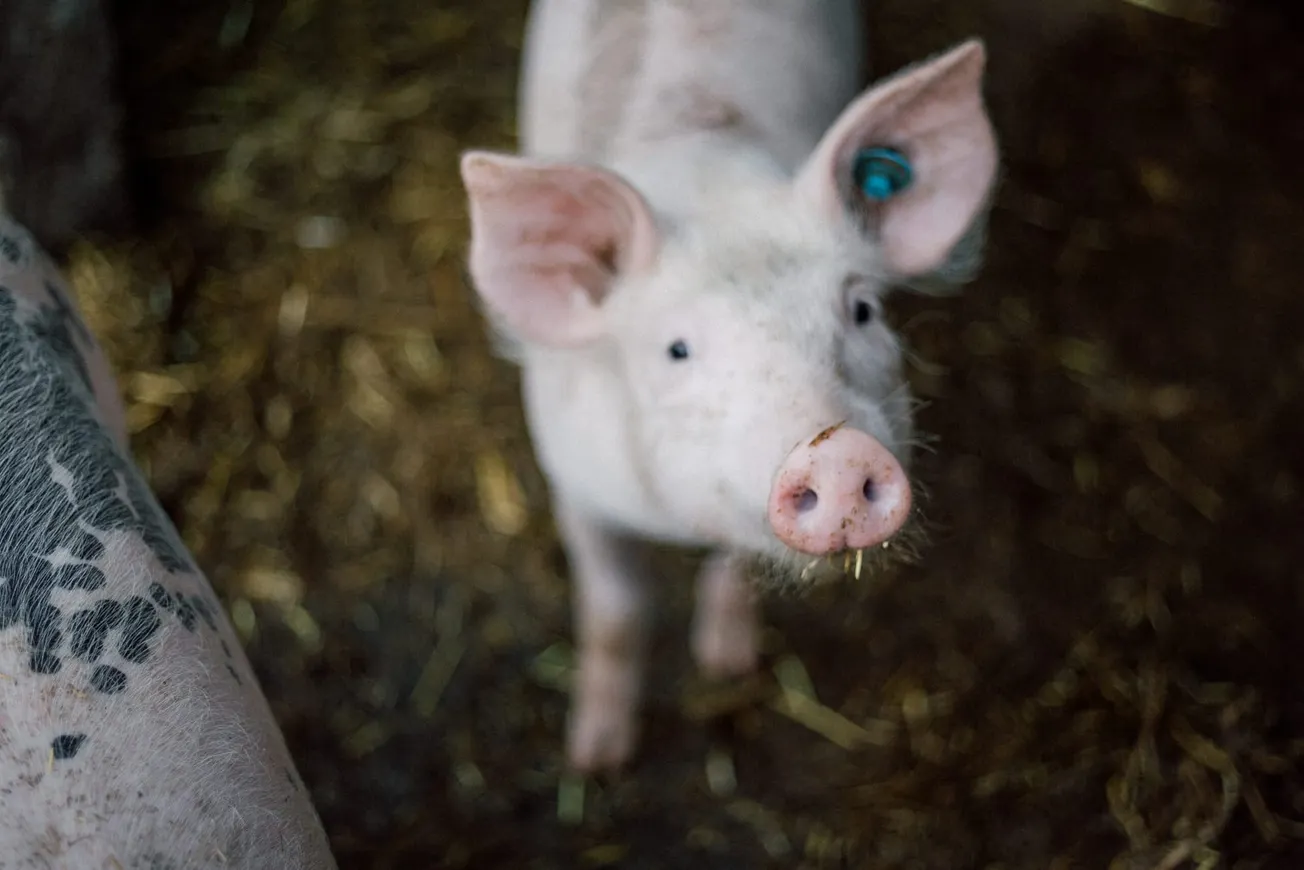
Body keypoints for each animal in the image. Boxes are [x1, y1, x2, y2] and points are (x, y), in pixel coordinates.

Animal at [459, 0, 999, 772]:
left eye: (863, 310)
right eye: (677, 349)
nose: (838, 452)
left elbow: (736, 565)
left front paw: (726, 664)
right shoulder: (572, 480)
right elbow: (615, 609)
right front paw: (597, 756)